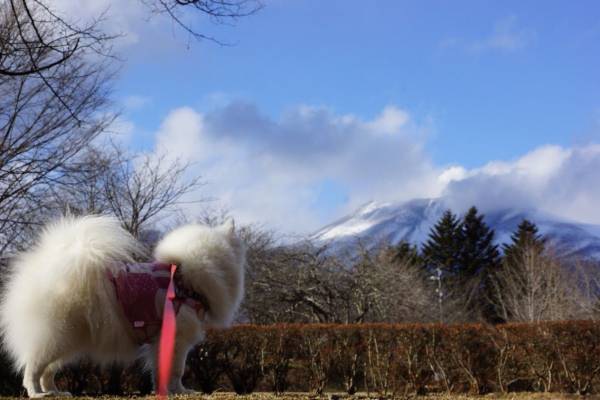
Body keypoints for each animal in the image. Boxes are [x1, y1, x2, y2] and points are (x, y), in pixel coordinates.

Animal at [0, 216, 246, 396]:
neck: (184, 282)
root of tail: (44, 268)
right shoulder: (177, 338)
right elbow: (177, 369)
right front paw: (181, 391)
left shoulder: (161, 340)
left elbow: (163, 369)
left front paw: (166, 391)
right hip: (56, 335)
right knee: (33, 367)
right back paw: (36, 393)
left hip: (67, 339)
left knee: (48, 370)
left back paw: (55, 392)